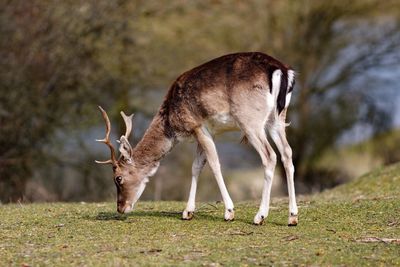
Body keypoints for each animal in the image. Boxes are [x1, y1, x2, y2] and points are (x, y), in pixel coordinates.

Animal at [95, 51, 298, 226]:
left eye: (118, 178)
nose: (121, 208)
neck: (171, 121)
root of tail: (282, 70)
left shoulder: (197, 126)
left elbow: (214, 164)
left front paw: (229, 212)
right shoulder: (208, 132)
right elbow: (196, 167)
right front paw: (187, 212)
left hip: (250, 120)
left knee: (270, 156)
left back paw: (260, 216)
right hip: (277, 119)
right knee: (287, 153)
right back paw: (292, 216)